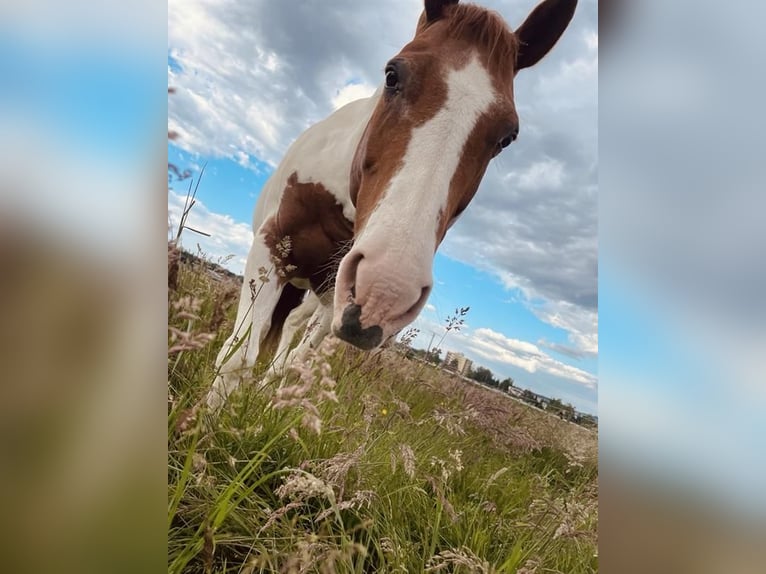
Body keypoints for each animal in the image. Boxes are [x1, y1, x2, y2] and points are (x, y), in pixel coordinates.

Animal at [206, 0, 578, 410]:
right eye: (391, 75)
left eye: (507, 136)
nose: (386, 290)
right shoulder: (270, 249)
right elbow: (237, 356)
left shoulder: (335, 296)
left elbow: (295, 363)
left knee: (292, 333)